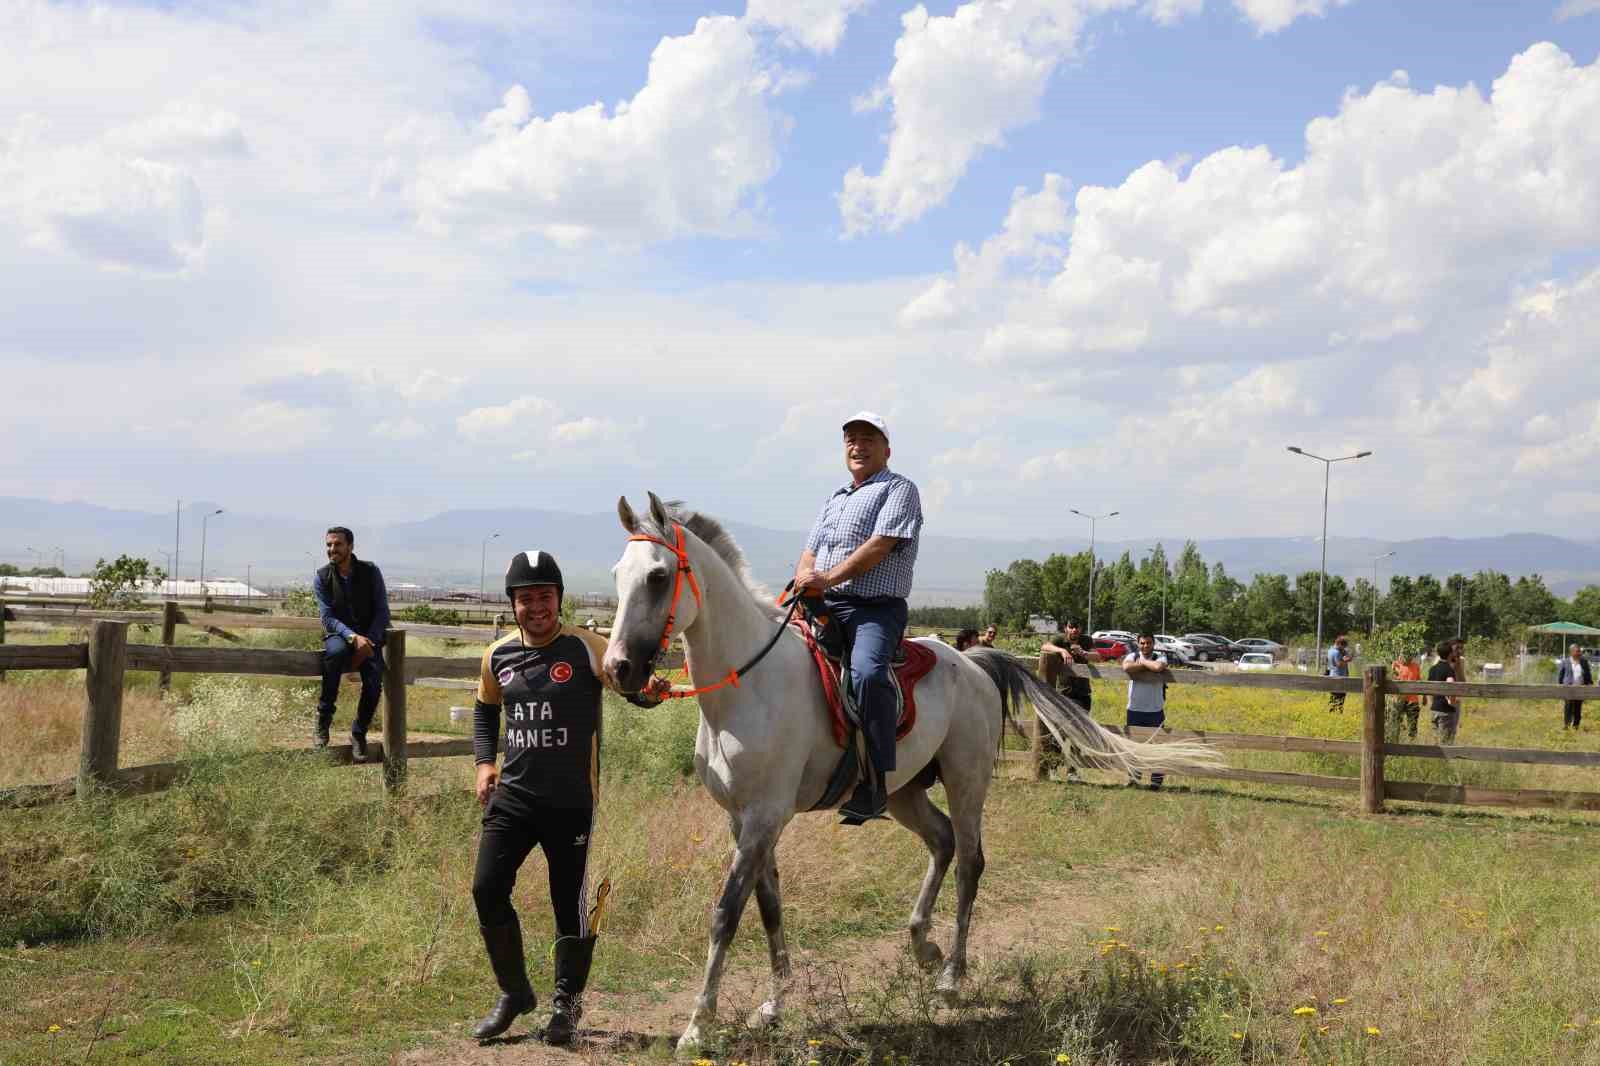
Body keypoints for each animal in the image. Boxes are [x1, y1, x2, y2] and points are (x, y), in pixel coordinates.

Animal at [604, 492, 1216, 1049]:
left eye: (658, 576)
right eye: (617, 575)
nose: (619, 669)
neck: (750, 685)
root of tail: (974, 662)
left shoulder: (763, 816)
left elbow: (727, 912)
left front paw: (697, 1026)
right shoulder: (746, 820)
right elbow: (768, 905)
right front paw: (775, 1003)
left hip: (968, 781)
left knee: (969, 861)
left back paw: (950, 979)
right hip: (902, 793)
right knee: (941, 842)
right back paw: (924, 946)